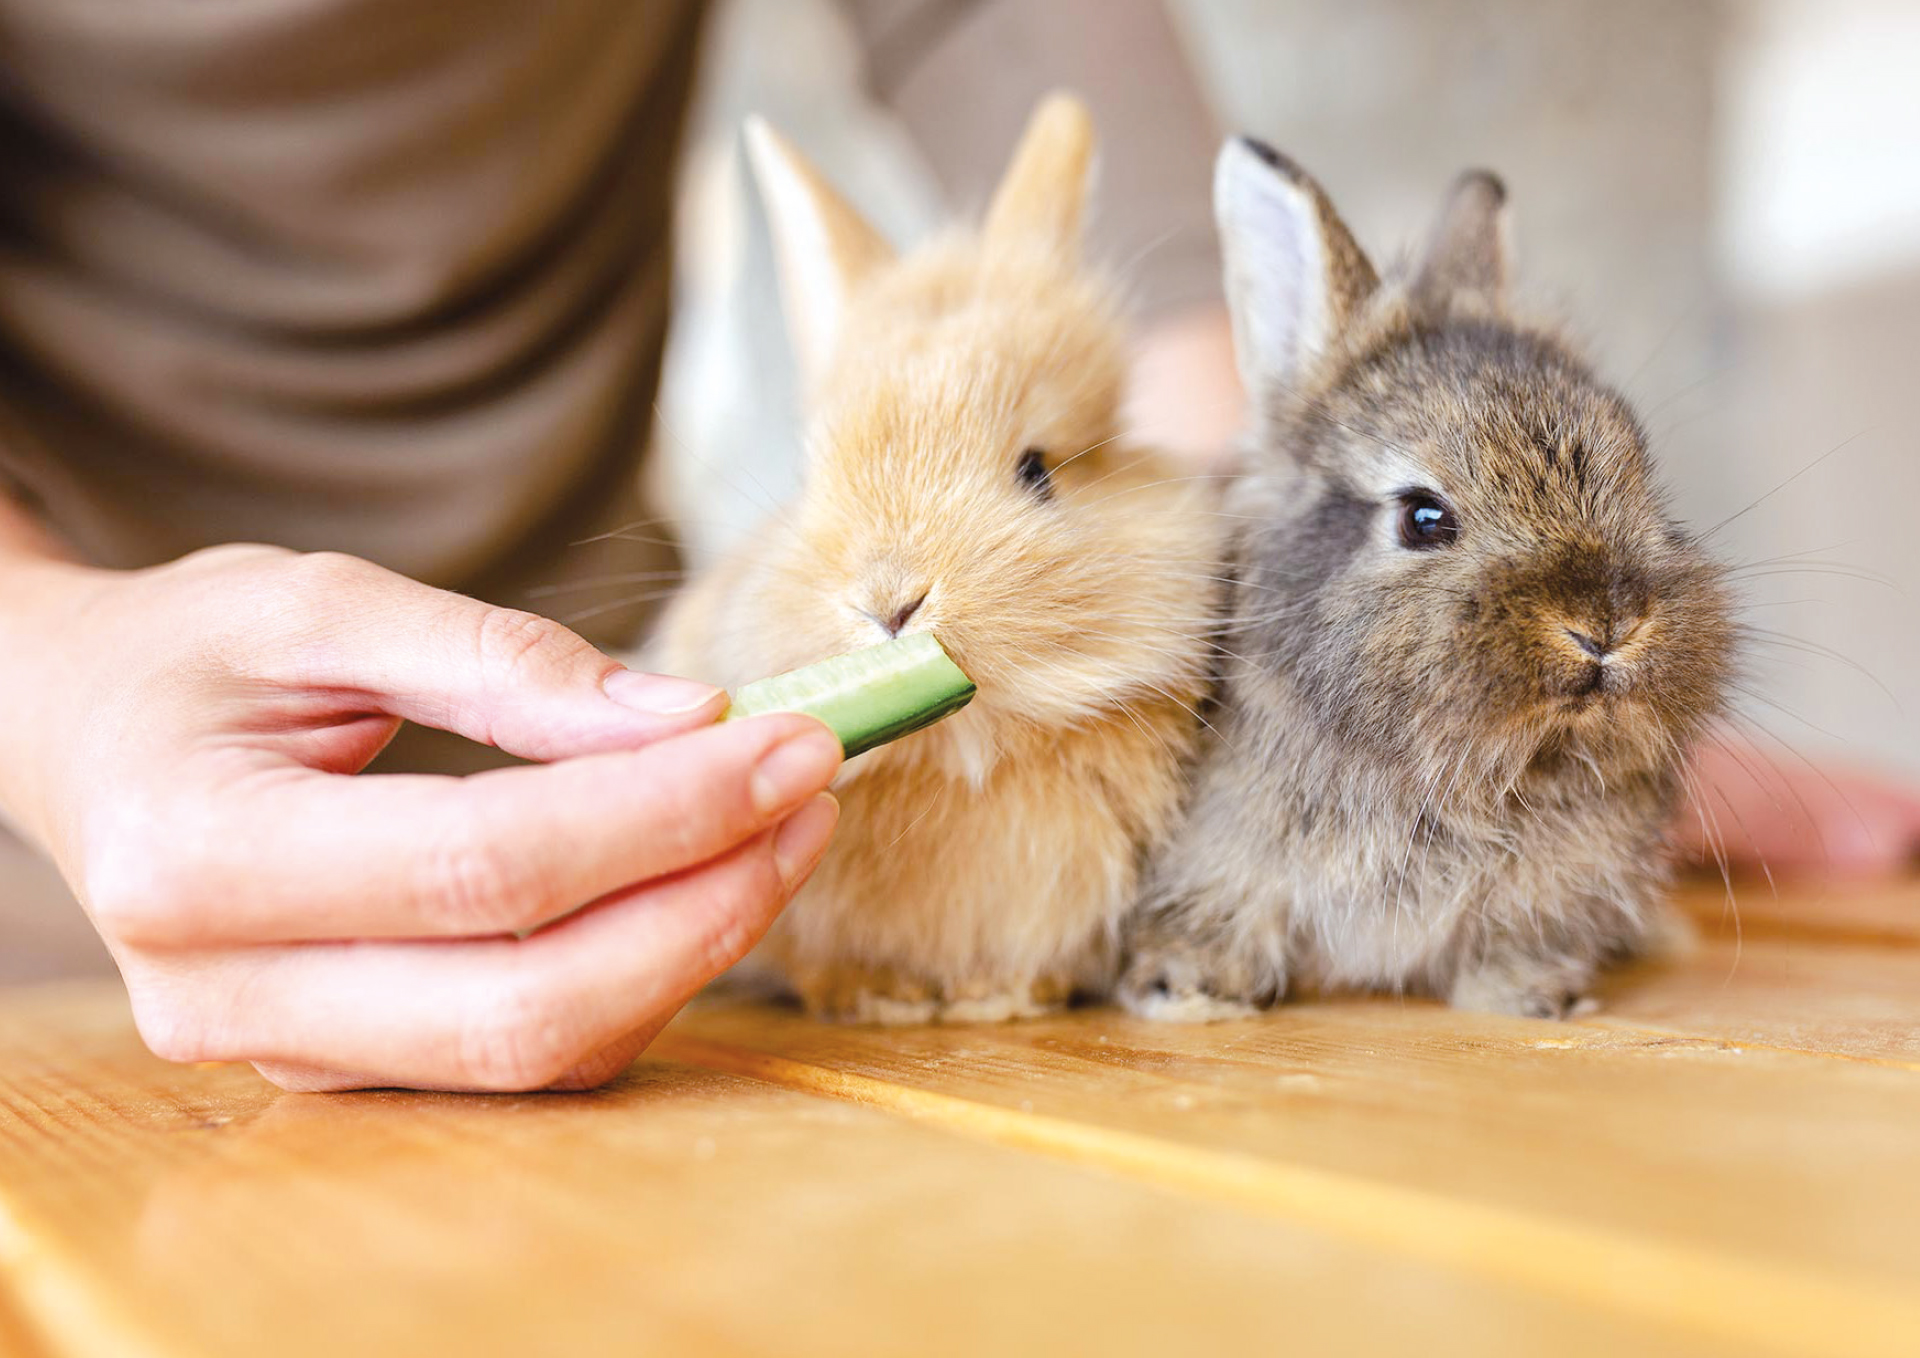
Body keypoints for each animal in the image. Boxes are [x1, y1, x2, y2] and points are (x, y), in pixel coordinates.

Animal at [645, 95, 1213, 1021]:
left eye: (1037, 470)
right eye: (808, 479)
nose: (890, 603)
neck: (963, 750)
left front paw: (1002, 997)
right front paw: (878, 999)